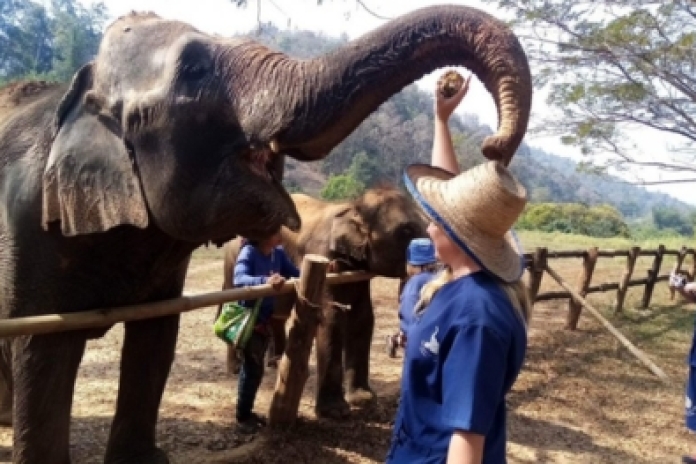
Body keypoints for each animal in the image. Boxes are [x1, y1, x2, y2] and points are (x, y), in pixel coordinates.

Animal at [220, 187, 426, 418]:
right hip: (234, 260)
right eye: (406, 230)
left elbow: (362, 317)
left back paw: (276, 362)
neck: (353, 207)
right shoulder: (322, 255)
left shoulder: (358, 272)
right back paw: (236, 368)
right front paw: (335, 412)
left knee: (278, 312)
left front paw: (364, 400)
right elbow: (331, 318)